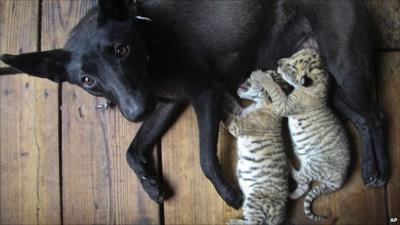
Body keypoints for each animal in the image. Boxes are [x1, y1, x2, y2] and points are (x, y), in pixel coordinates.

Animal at [0, 0, 388, 208]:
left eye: (121, 49)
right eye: (87, 81)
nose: (135, 111)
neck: (150, 43)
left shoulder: (205, 94)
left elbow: (204, 157)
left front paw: (229, 194)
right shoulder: (166, 104)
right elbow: (131, 149)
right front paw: (151, 183)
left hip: (344, 64)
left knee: (376, 115)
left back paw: (380, 170)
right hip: (319, 84)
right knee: (362, 118)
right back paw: (369, 167)